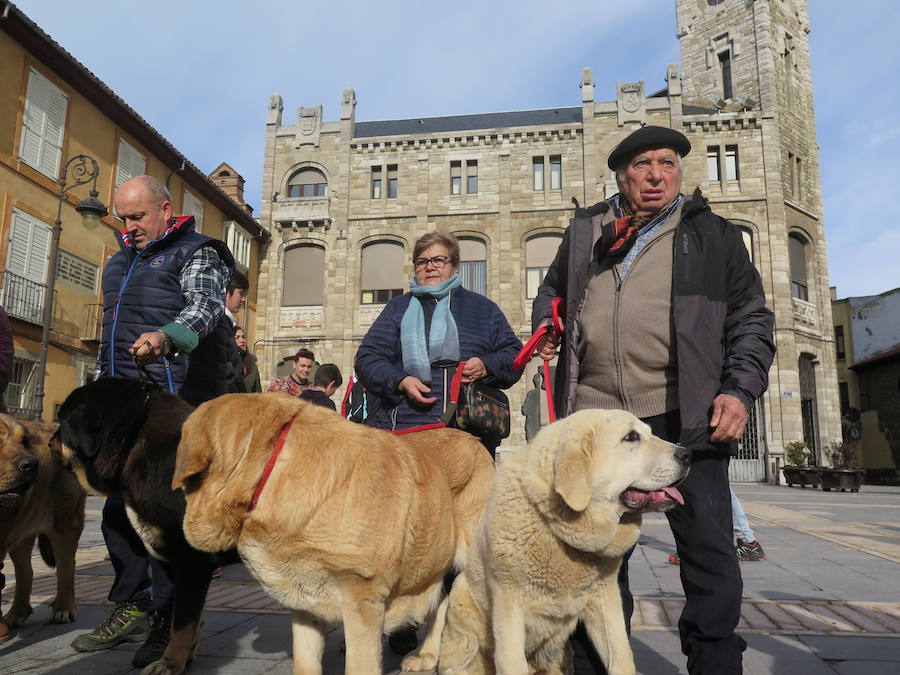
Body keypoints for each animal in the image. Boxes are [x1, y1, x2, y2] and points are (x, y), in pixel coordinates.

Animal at [0, 410, 85, 636]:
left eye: (23, 441)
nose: (31, 463)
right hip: (22, 531)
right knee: (25, 572)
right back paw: (16, 614)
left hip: (64, 524)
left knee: (66, 567)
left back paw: (63, 608)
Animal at [172, 394, 496, 675]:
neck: (270, 470)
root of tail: (475, 441)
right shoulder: (304, 600)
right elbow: (305, 661)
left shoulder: (362, 596)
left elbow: (359, 664)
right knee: (441, 601)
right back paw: (427, 655)